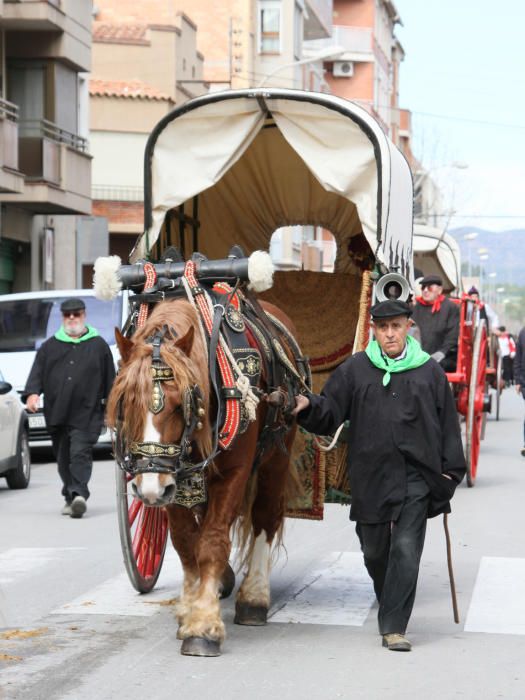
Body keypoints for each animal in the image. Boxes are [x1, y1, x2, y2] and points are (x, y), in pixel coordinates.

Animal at [106, 300, 298, 656]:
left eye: (180, 404)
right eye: (126, 403)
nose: (148, 490)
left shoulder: (234, 472)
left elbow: (211, 542)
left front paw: (204, 625)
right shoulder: (173, 482)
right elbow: (186, 542)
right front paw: (190, 608)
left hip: (277, 455)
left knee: (265, 517)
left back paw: (254, 597)